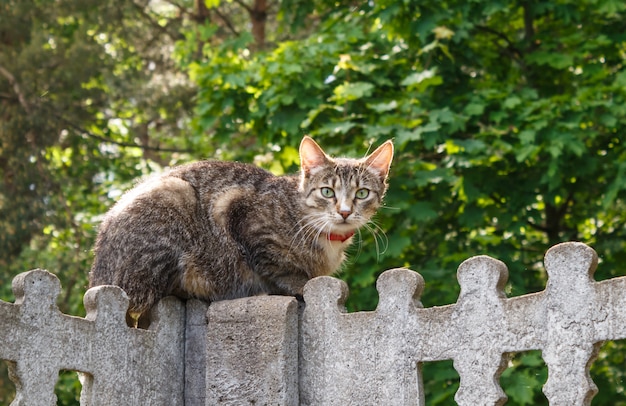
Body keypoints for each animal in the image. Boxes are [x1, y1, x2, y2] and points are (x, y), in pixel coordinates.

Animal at [89, 135, 390, 326]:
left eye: (362, 193)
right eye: (327, 191)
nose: (345, 211)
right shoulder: (238, 212)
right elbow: (278, 268)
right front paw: (298, 283)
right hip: (174, 196)